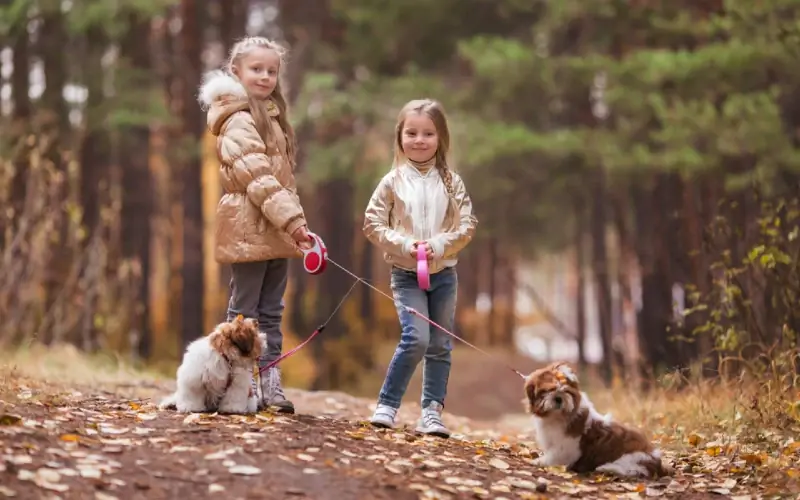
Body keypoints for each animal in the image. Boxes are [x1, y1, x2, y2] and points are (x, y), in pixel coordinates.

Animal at [520, 362, 672, 478]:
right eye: (547, 391)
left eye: (566, 391)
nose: (558, 398)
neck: (556, 416)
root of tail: (657, 462)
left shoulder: (567, 447)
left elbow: (556, 456)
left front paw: (540, 461)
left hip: (633, 457)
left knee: (632, 469)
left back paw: (606, 468)